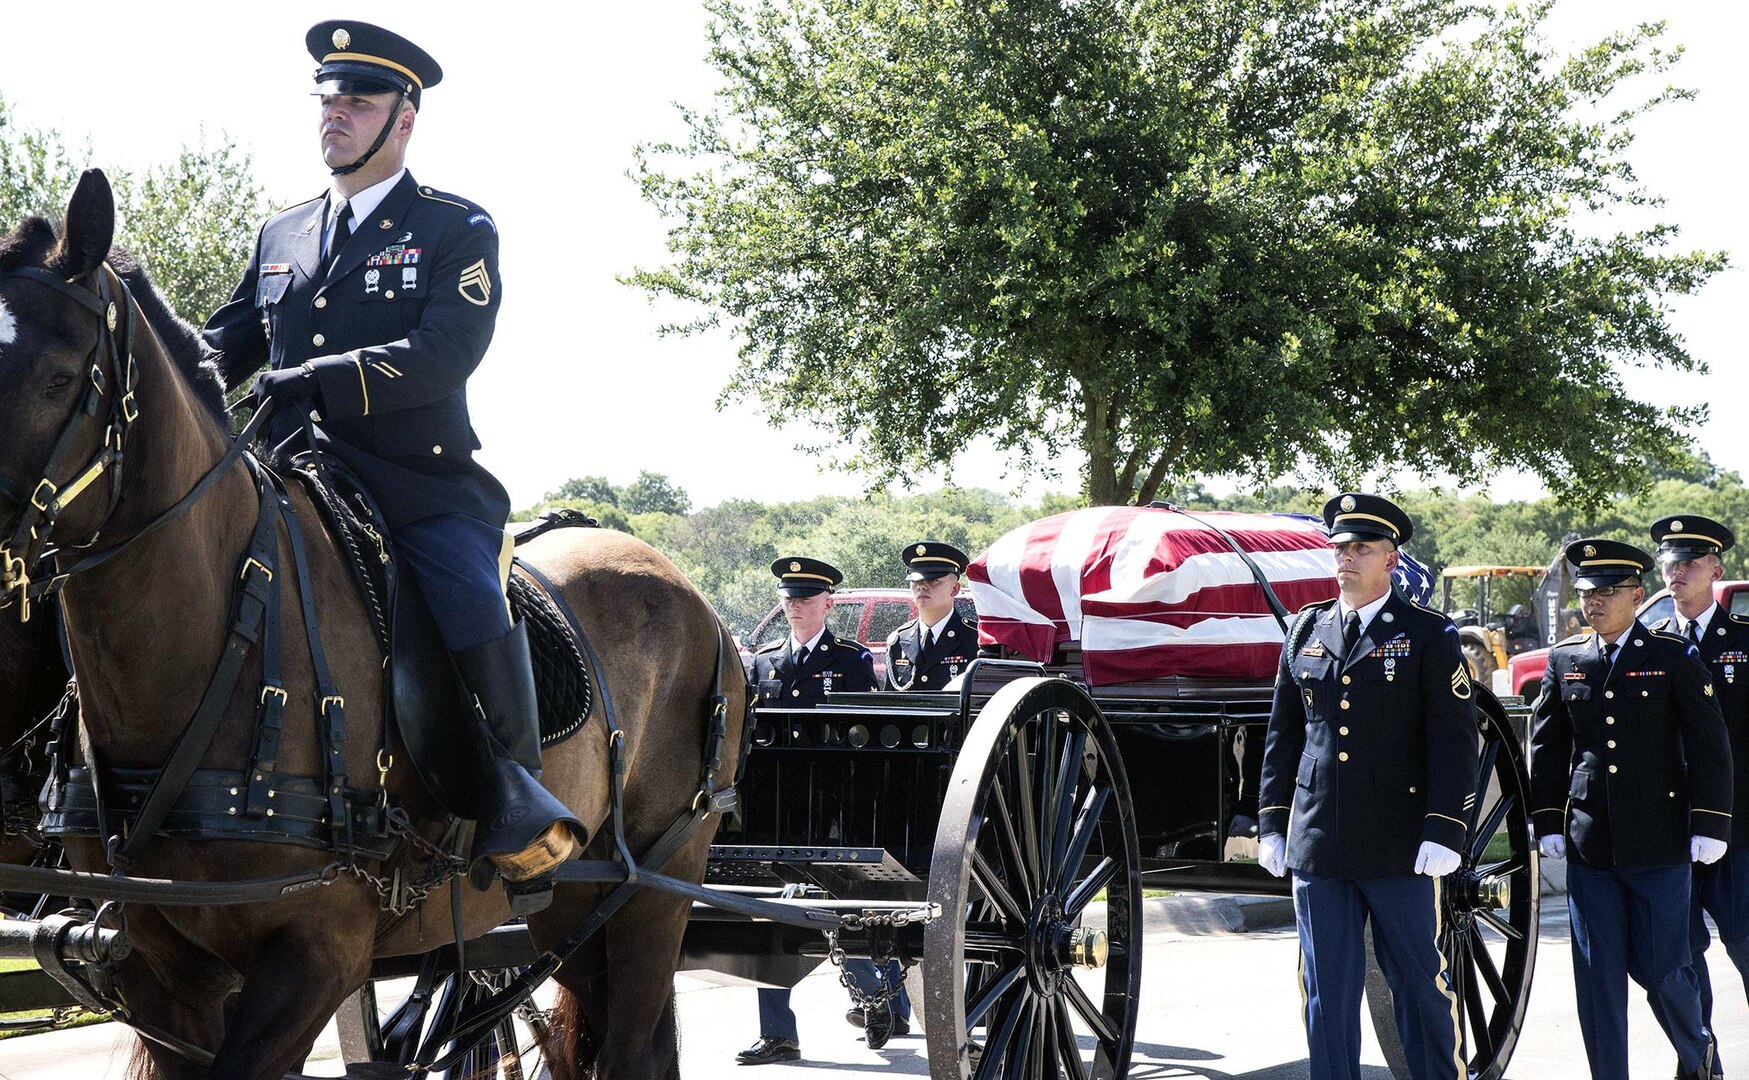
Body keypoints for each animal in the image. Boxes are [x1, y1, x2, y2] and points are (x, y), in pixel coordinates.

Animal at [0, 166, 745, 1071]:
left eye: (58, 377)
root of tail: (701, 608)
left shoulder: (315, 951)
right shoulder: (158, 966)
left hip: (654, 896)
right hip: (575, 910)